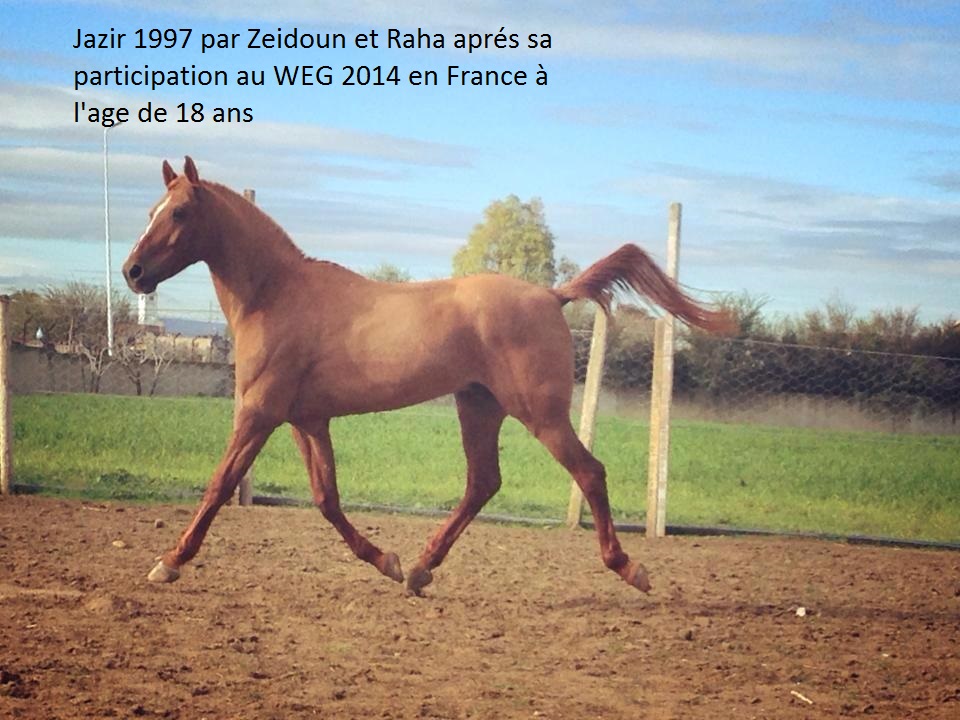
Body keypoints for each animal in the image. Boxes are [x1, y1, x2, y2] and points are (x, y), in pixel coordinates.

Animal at [122, 156, 732, 596]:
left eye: (179, 213)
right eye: (151, 208)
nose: (132, 272)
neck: (275, 295)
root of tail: (551, 295)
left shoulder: (258, 412)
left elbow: (221, 484)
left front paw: (169, 562)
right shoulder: (306, 419)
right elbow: (326, 498)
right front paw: (386, 561)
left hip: (539, 413)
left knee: (589, 472)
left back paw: (629, 568)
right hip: (478, 406)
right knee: (483, 482)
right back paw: (419, 570)